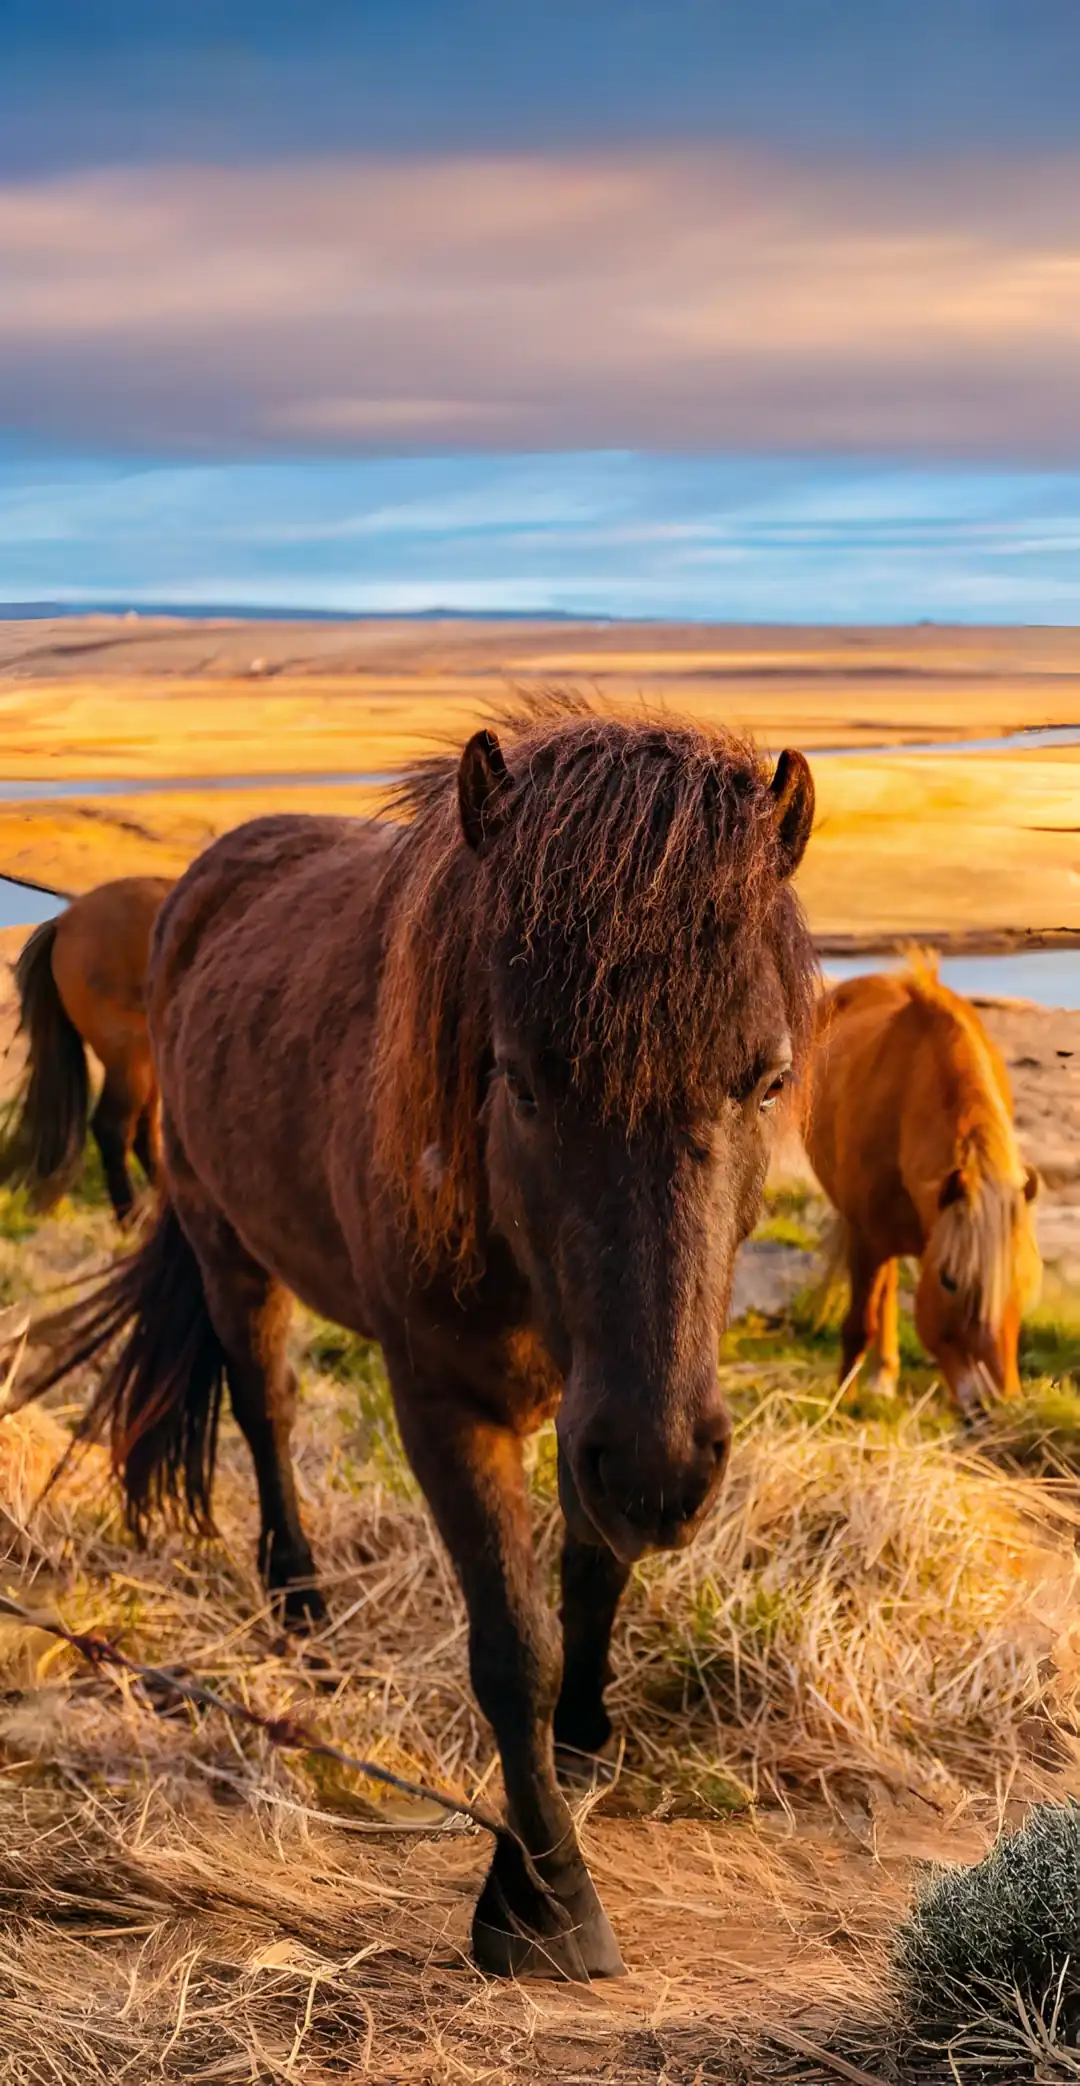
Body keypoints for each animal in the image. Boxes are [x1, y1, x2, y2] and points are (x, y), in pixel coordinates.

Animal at [805, 959, 1041, 1414]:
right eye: (949, 1281)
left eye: (1022, 1281)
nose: (994, 1406)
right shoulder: (867, 1239)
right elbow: (859, 1324)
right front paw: (841, 1404)